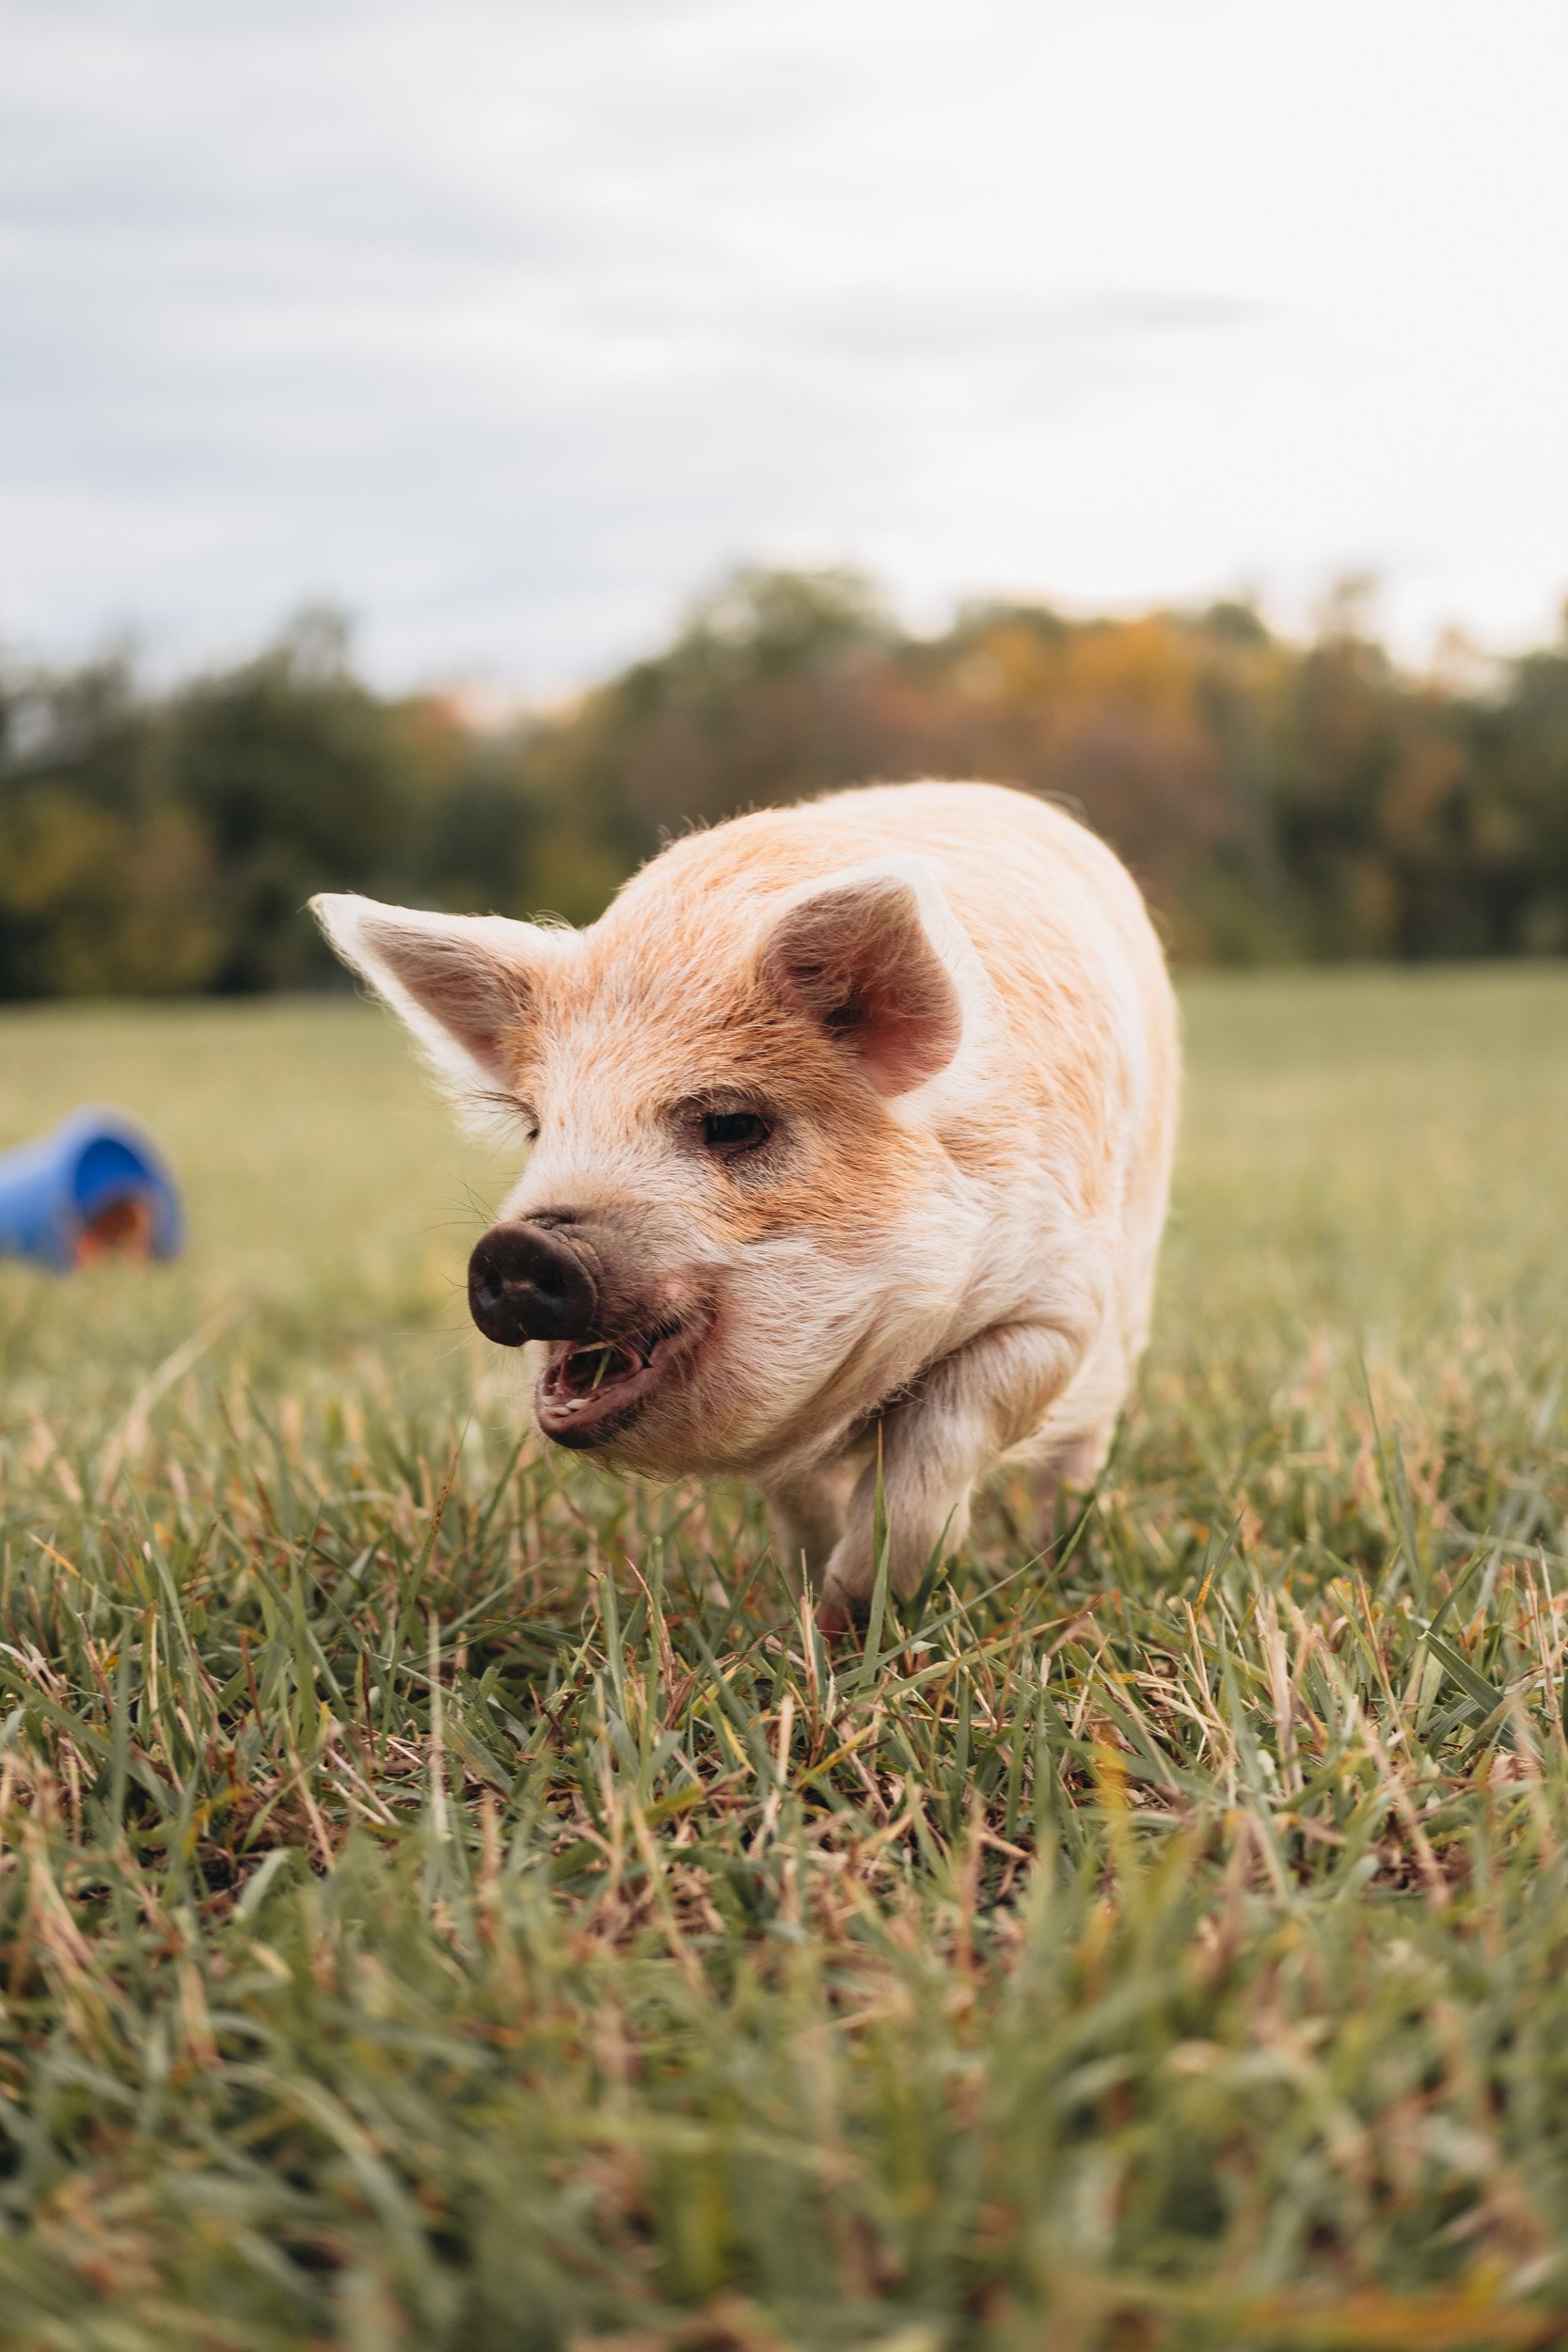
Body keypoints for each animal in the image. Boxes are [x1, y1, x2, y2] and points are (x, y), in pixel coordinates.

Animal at [312, 781, 1178, 1633]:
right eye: (538, 1128)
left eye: (732, 1124)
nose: (523, 1247)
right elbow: (802, 1501)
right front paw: (800, 1614)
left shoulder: (1054, 1310)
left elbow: (933, 1454)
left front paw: (848, 1621)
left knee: (1076, 1450)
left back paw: (1059, 1565)